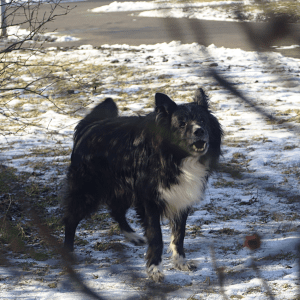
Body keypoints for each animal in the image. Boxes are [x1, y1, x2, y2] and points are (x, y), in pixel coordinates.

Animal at [62, 88, 223, 282]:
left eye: (202, 120)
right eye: (182, 123)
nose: (200, 131)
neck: (174, 157)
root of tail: (88, 127)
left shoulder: (180, 198)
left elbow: (179, 235)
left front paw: (180, 262)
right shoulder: (150, 201)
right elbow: (156, 236)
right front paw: (154, 269)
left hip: (123, 189)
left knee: (116, 210)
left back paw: (132, 236)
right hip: (88, 190)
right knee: (71, 219)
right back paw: (68, 253)